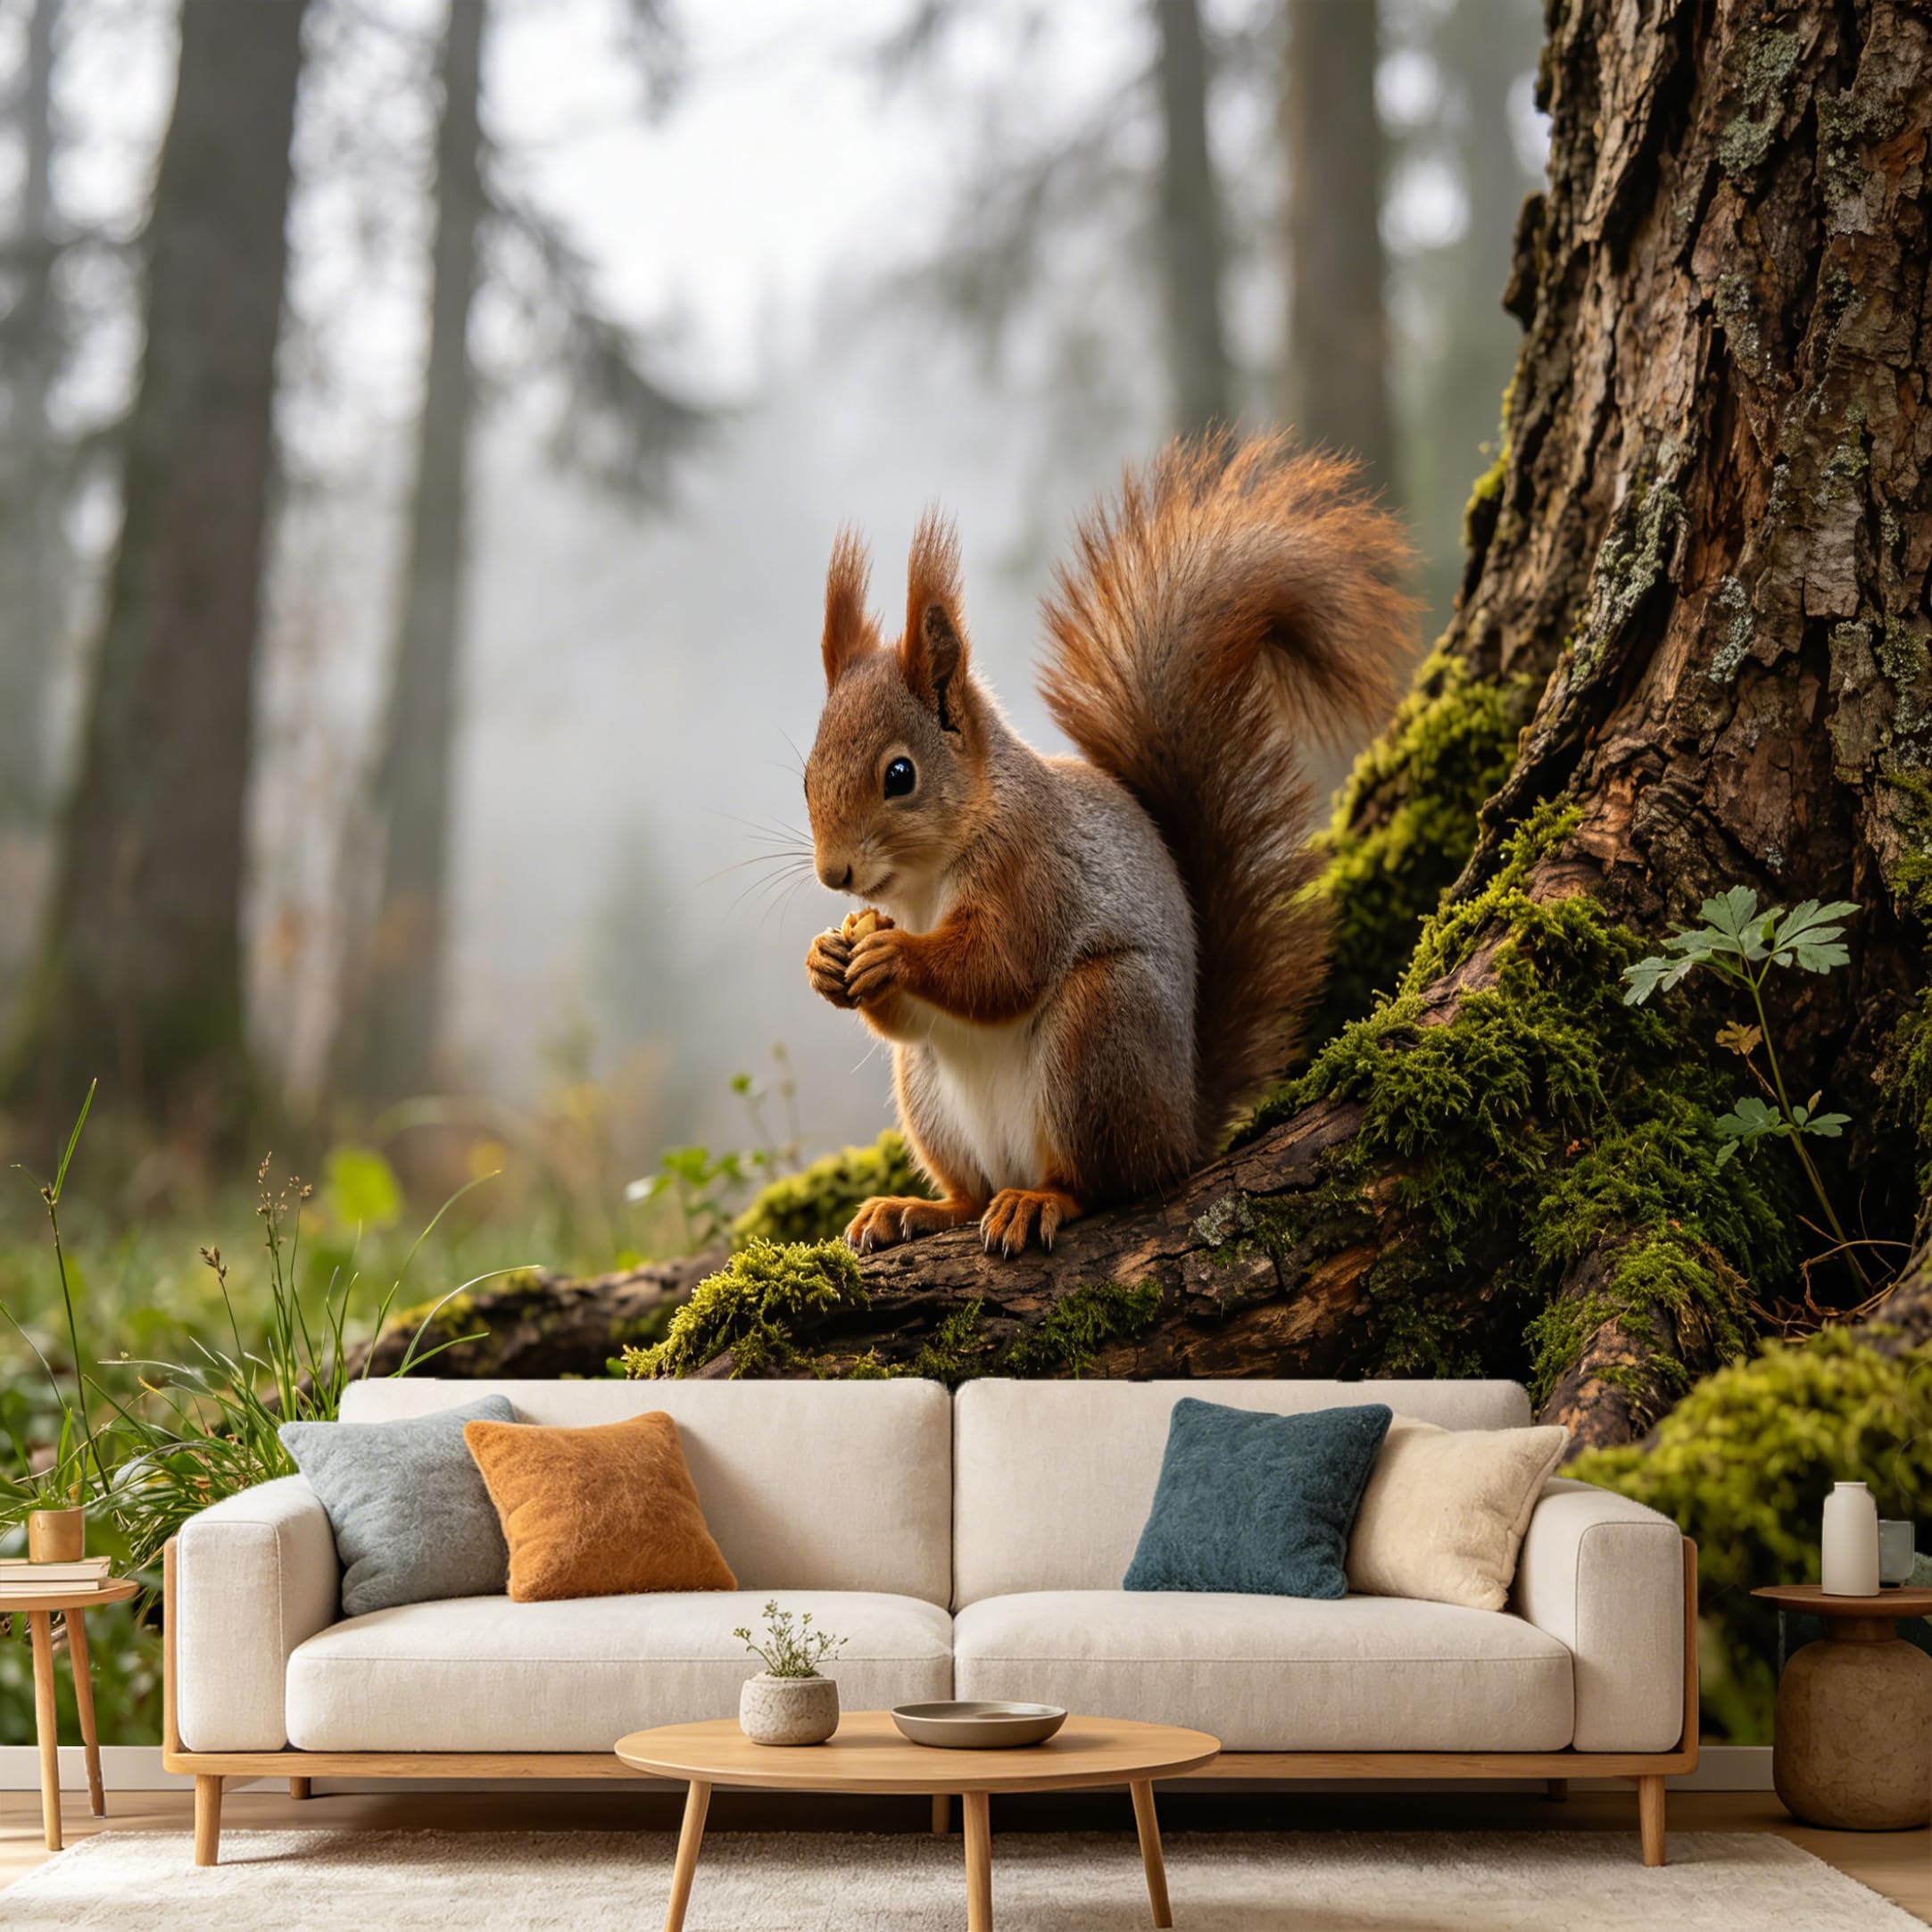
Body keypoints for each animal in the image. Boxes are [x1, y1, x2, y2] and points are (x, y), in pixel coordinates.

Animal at [802, 433, 1415, 1256]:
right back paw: (916, 1209)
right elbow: (910, 1009)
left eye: (899, 774)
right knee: (971, 1190)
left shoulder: (1035, 866)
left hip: (1099, 1031)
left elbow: (1002, 966)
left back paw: (1038, 1200)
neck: (925, 880)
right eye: (807, 774)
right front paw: (827, 958)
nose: (834, 874)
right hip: (928, 1091)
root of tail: (1182, 1128)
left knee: (1101, 1184)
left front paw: (893, 953)